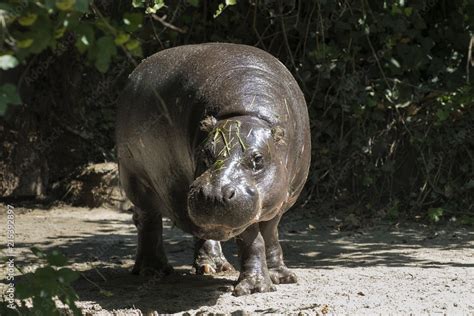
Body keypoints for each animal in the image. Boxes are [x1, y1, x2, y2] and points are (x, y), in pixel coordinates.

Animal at [116, 42, 312, 296]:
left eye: (258, 158)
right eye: (205, 153)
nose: (214, 194)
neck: (246, 114)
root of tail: (136, 72)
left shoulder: (279, 199)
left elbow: (271, 235)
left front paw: (282, 276)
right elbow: (253, 240)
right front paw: (255, 287)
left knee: (204, 232)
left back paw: (214, 267)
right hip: (136, 180)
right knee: (148, 222)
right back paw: (153, 270)